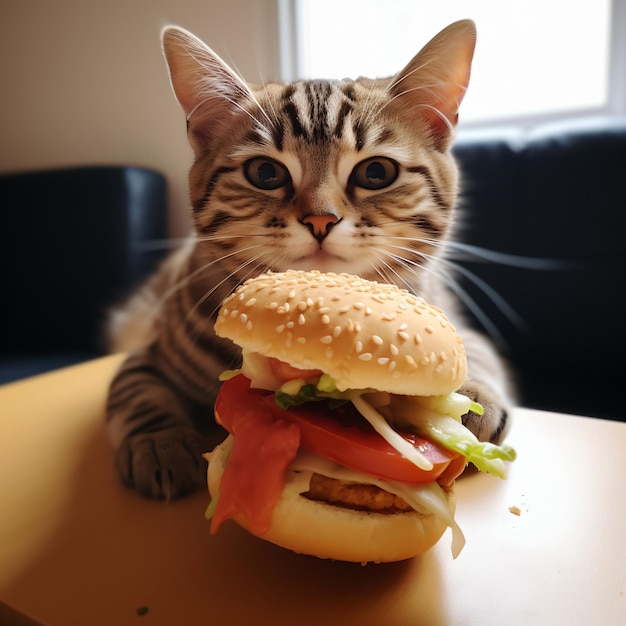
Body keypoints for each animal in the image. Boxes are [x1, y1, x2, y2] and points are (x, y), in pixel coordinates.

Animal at [106, 18, 512, 498]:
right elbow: (137, 393)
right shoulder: (144, 356)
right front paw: (160, 442)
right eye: (265, 172)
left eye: (377, 172)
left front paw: (472, 398)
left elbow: (477, 352)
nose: (321, 219)